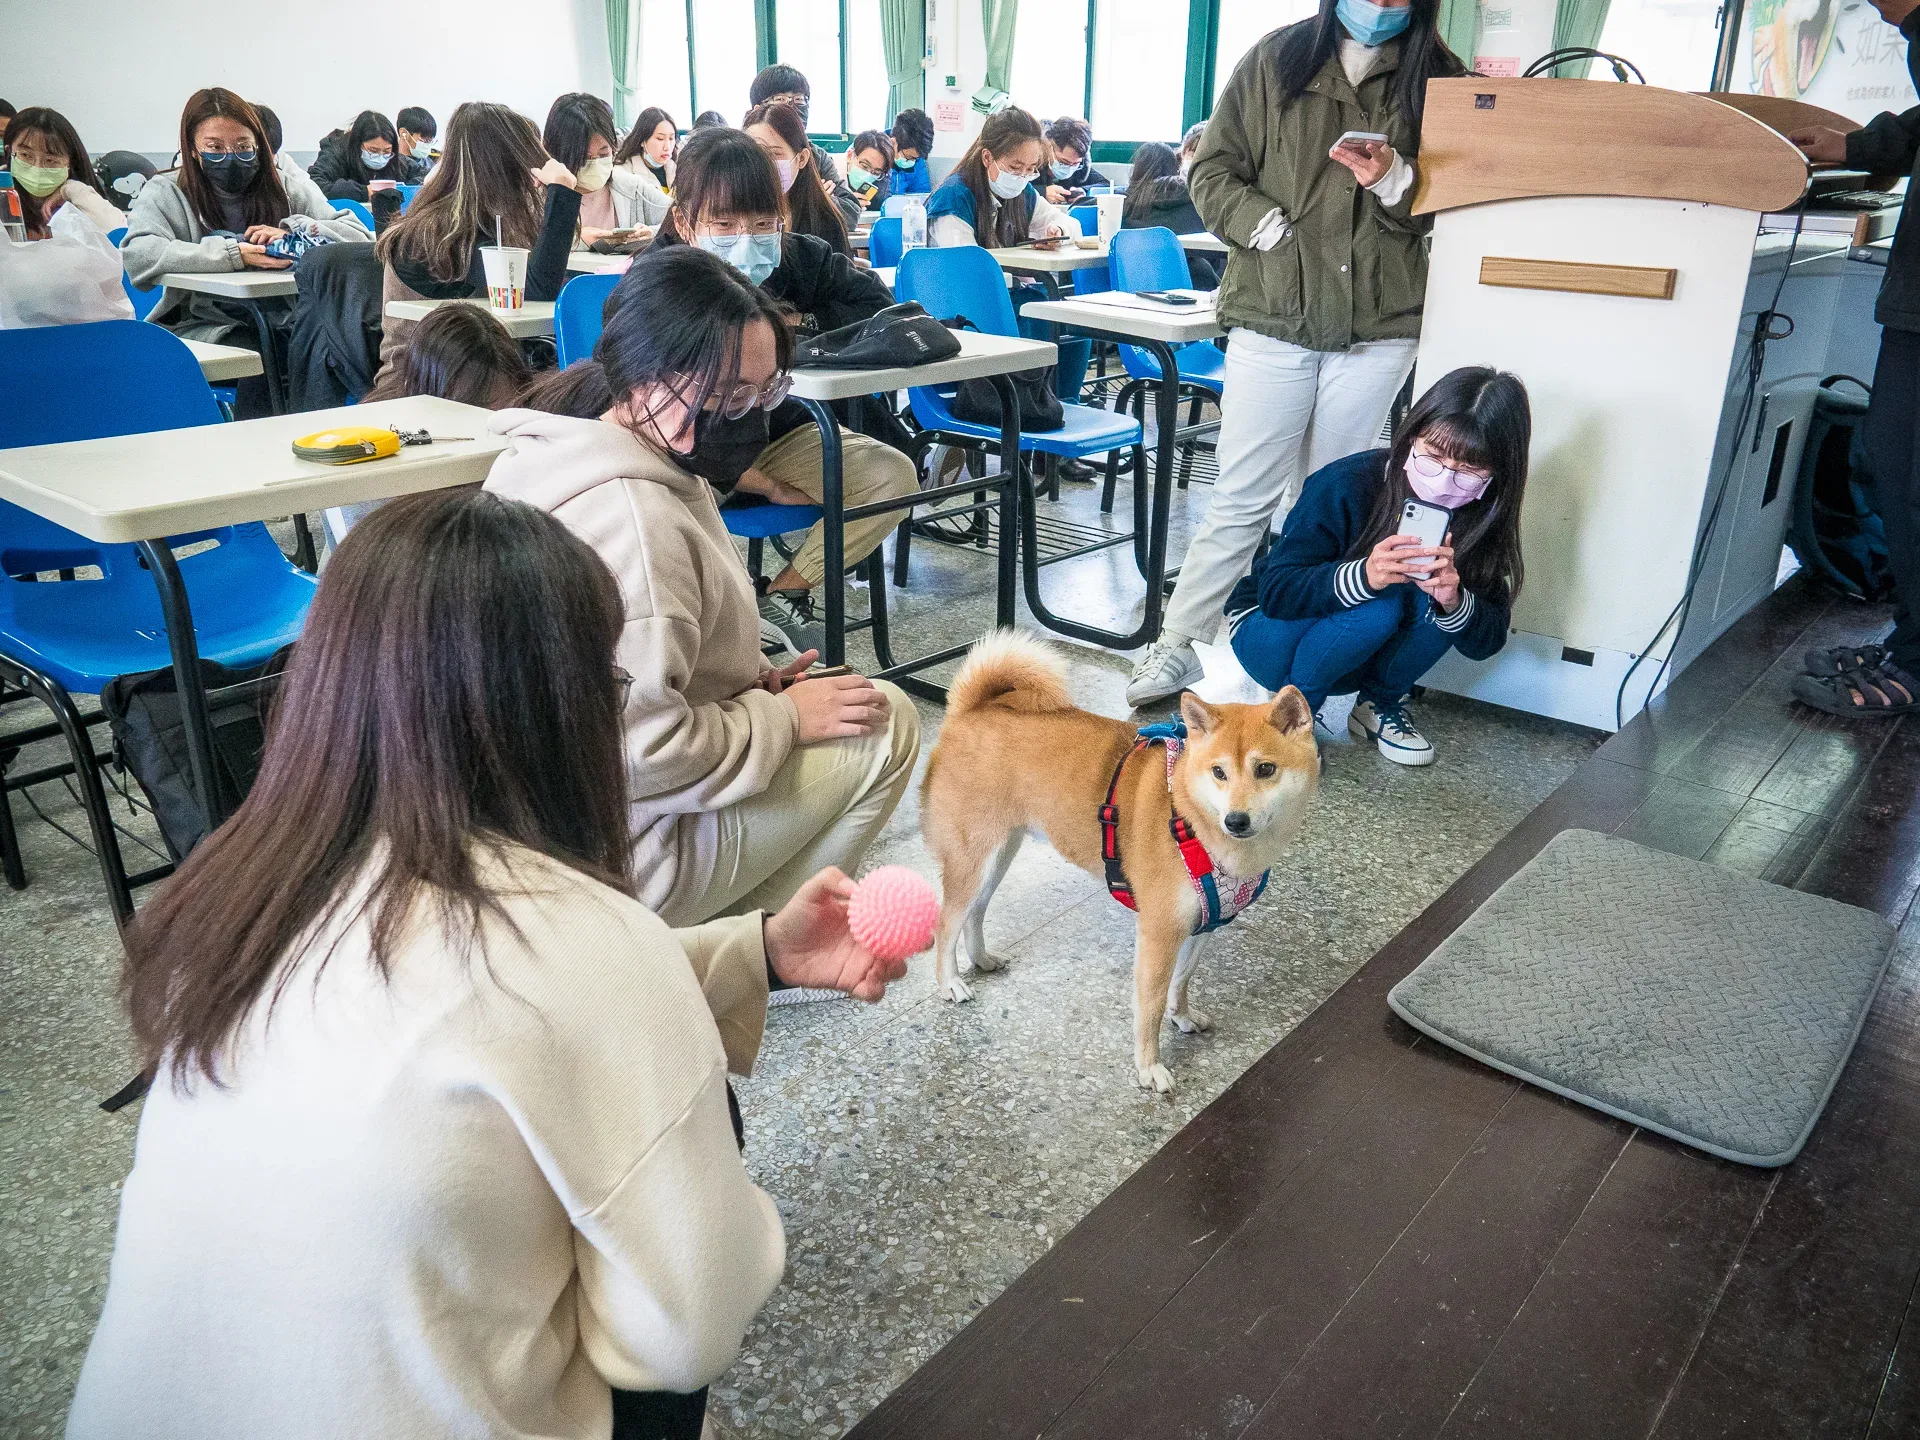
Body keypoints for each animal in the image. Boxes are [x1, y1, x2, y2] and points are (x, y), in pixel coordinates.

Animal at [917, 629, 1320, 1090]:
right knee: (948, 921)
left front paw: (1182, 1018)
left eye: (1266, 769)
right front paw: (1149, 1067)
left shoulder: (1202, 925)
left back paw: (981, 959)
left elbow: (1181, 982)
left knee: (974, 912)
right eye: (1218, 772)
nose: (1236, 820)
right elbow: (1150, 1005)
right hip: (973, 856)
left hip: (998, 855)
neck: (1193, 821)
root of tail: (969, 711)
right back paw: (950, 981)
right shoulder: (1160, 932)